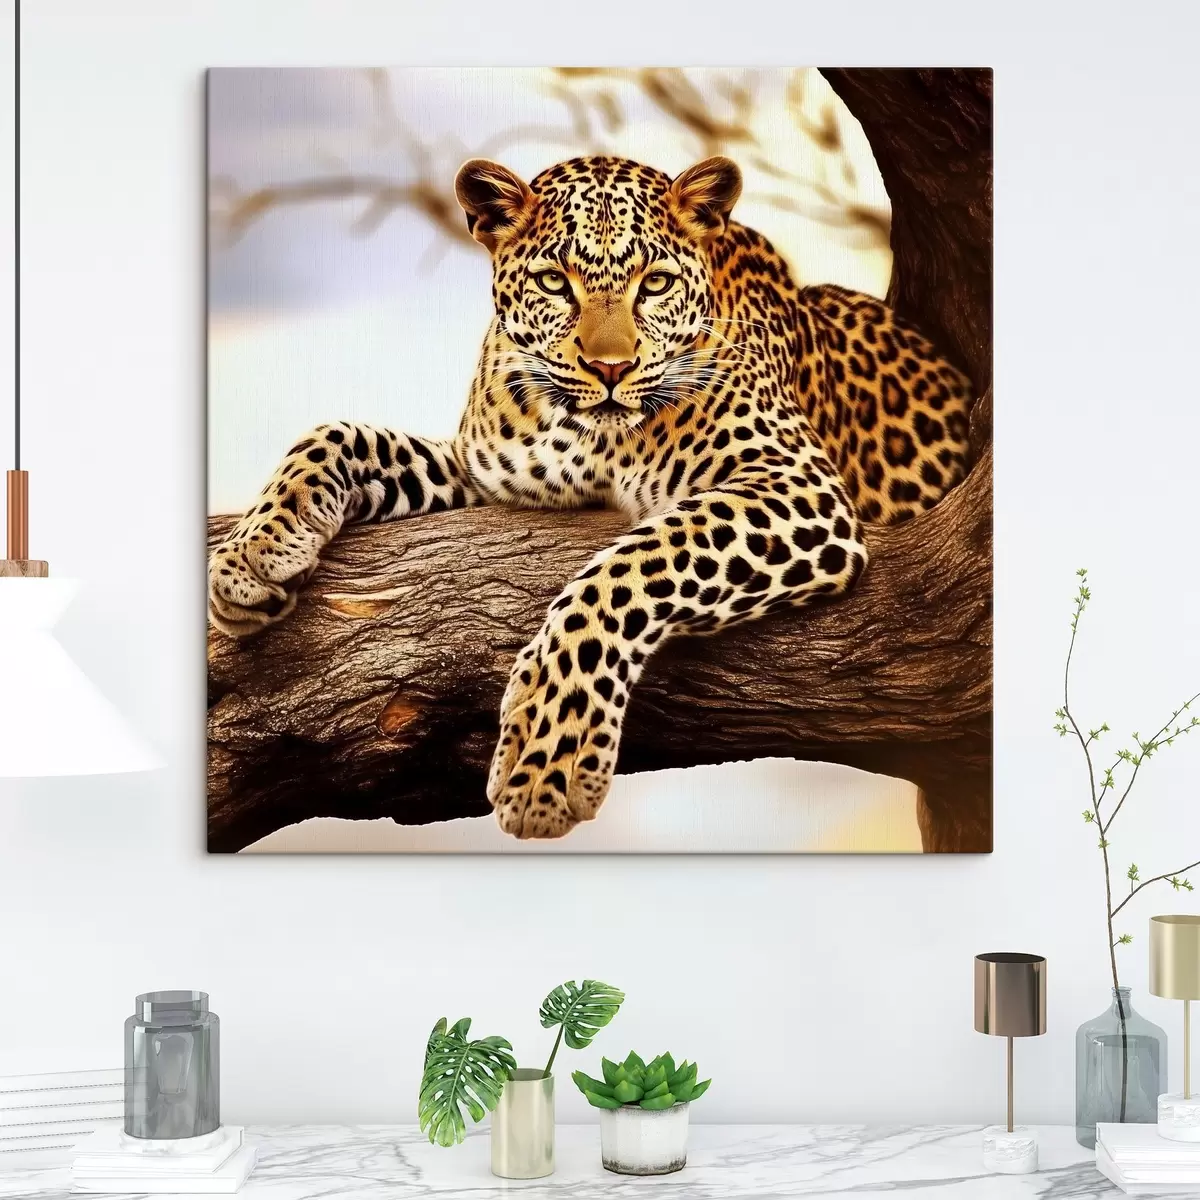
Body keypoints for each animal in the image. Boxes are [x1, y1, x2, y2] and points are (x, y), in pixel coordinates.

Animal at [208, 154, 972, 840]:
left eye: (655, 283)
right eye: (555, 281)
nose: (611, 369)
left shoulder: (794, 483)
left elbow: (631, 567)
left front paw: (548, 756)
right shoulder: (479, 477)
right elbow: (339, 433)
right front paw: (252, 556)